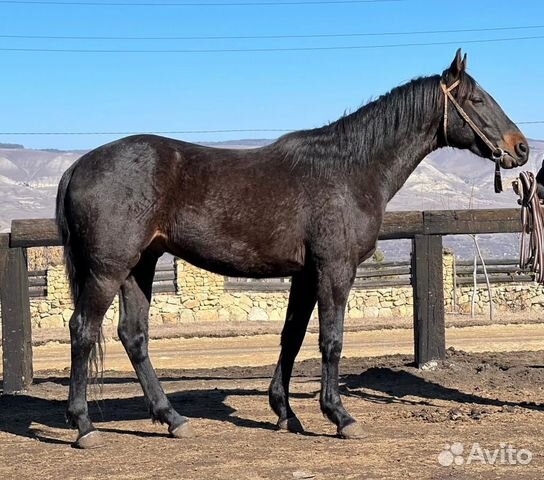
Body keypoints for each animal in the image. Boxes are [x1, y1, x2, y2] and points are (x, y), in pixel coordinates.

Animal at [55, 48, 528, 446]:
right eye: (478, 99)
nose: (520, 148)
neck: (350, 169)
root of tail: (78, 166)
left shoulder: (305, 275)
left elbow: (292, 338)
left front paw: (286, 413)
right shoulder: (335, 270)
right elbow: (331, 340)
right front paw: (340, 416)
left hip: (140, 266)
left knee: (133, 336)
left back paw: (172, 418)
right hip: (108, 270)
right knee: (83, 330)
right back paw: (84, 426)